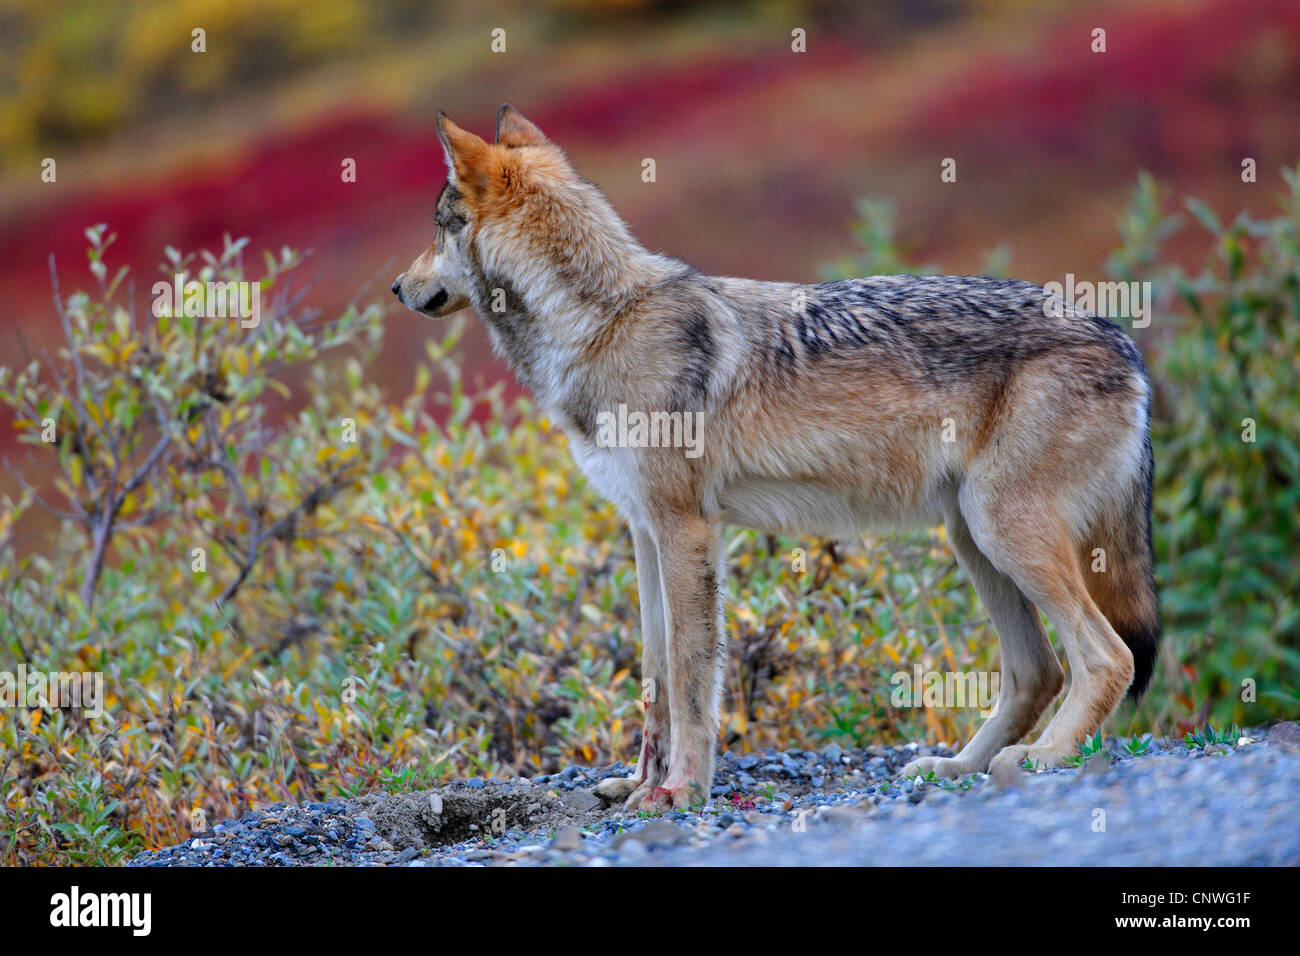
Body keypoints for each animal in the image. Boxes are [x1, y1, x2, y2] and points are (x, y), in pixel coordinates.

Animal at [393, 105, 1160, 810]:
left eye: (437, 227)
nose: (397, 288)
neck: (602, 323)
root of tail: (1122, 339)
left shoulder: (686, 530)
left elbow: (689, 677)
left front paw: (681, 792)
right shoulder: (643, 531)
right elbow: (653, 676)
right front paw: (638, 787)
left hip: (1005, 533)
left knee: (1107, 658)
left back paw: (1043, 759)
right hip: (973, 539)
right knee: (1037, 672)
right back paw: (957, 767)